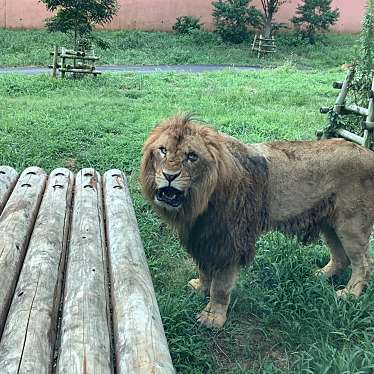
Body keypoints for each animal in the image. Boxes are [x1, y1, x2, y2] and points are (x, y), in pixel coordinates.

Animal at [140, 114, 374, 328]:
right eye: (163, 150)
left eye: (191, 156)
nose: (169, 175)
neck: (198, 202)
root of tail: (369, 154)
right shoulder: (204, 237)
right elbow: (204, 270)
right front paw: (199, 288)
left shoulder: (229, 242)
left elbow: (220, 286)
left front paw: (213, 317)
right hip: (330, 223)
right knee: (341, 258)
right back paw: (320, 276)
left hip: (351, 226)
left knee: (363, 264)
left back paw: (350, 294)